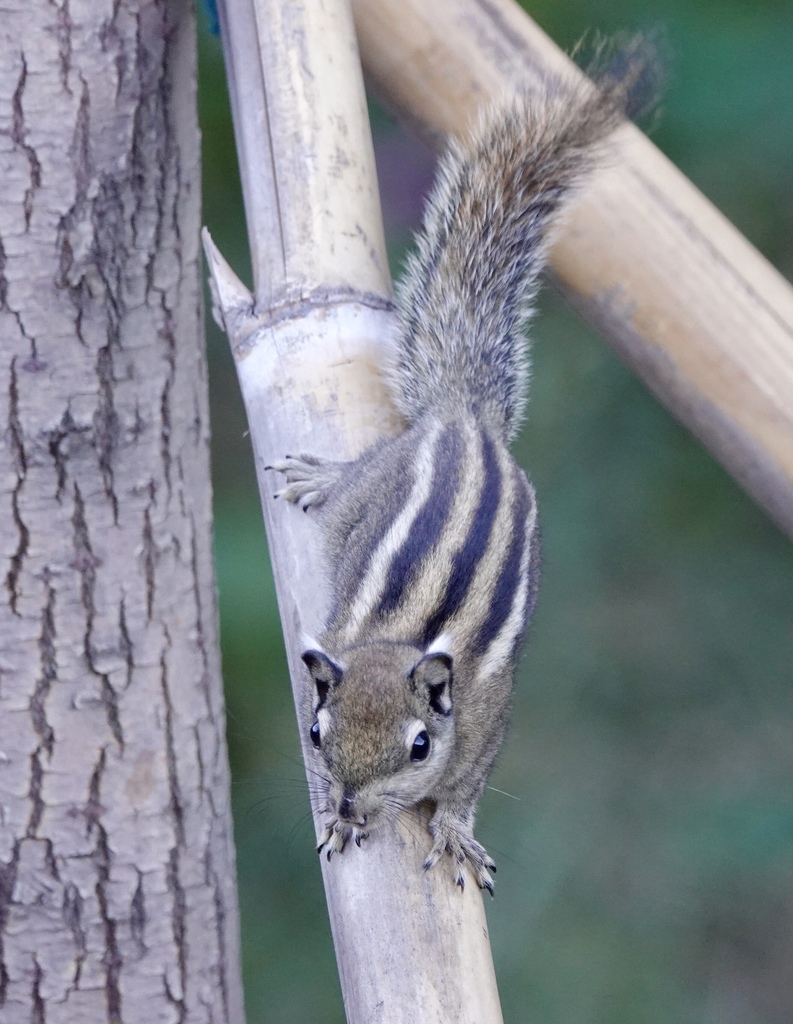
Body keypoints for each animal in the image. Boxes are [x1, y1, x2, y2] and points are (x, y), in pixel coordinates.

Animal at [271, 39, 658, 893]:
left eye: (419, 745)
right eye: (315, 733)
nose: (349, 804)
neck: (398, 639)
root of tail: (465, 422)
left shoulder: (482, 719)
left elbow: (469, 779)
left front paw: (450, 828)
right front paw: (332, 822)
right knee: (350, 485)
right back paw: (319, 478)